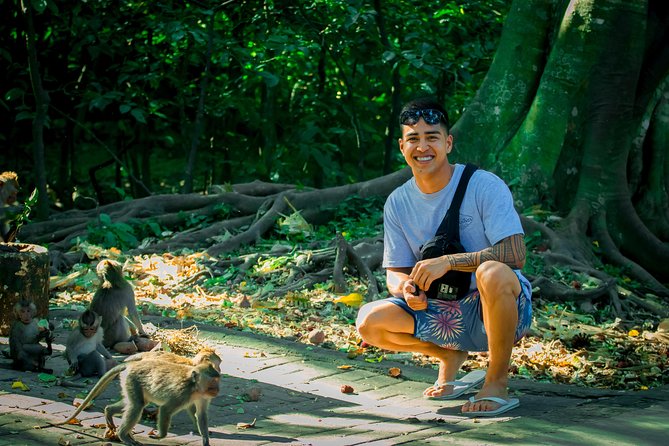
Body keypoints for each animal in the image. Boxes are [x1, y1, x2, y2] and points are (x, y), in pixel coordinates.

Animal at [58, 358, 218, 446]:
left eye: (217, 380)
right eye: (212, 381)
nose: (217, 389)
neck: (194, 387)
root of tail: (131, 365)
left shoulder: (202, 397)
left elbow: (200, 414)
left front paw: (206, 440)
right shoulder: (181, 394)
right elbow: (166, 409)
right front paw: (160, 436)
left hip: (130, 383)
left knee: (134, 403)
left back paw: (109, 412)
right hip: (132, 380)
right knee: (137, 406)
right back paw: (124, 436)